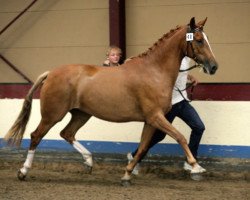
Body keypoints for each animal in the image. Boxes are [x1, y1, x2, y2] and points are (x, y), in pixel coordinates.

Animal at [4, 18, 218, 184]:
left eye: (207, 39)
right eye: (199, 40)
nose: (214, 67)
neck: (154, 71)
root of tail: (51, 73)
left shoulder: (151, 121)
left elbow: (142, 148)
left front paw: (127, 175)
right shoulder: (155, 117)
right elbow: (180, 137)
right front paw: (196, 167)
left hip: (82, 114)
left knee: (67, 133)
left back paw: (89, 161)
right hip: (52, 115)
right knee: (36, 136)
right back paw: (23, 171)